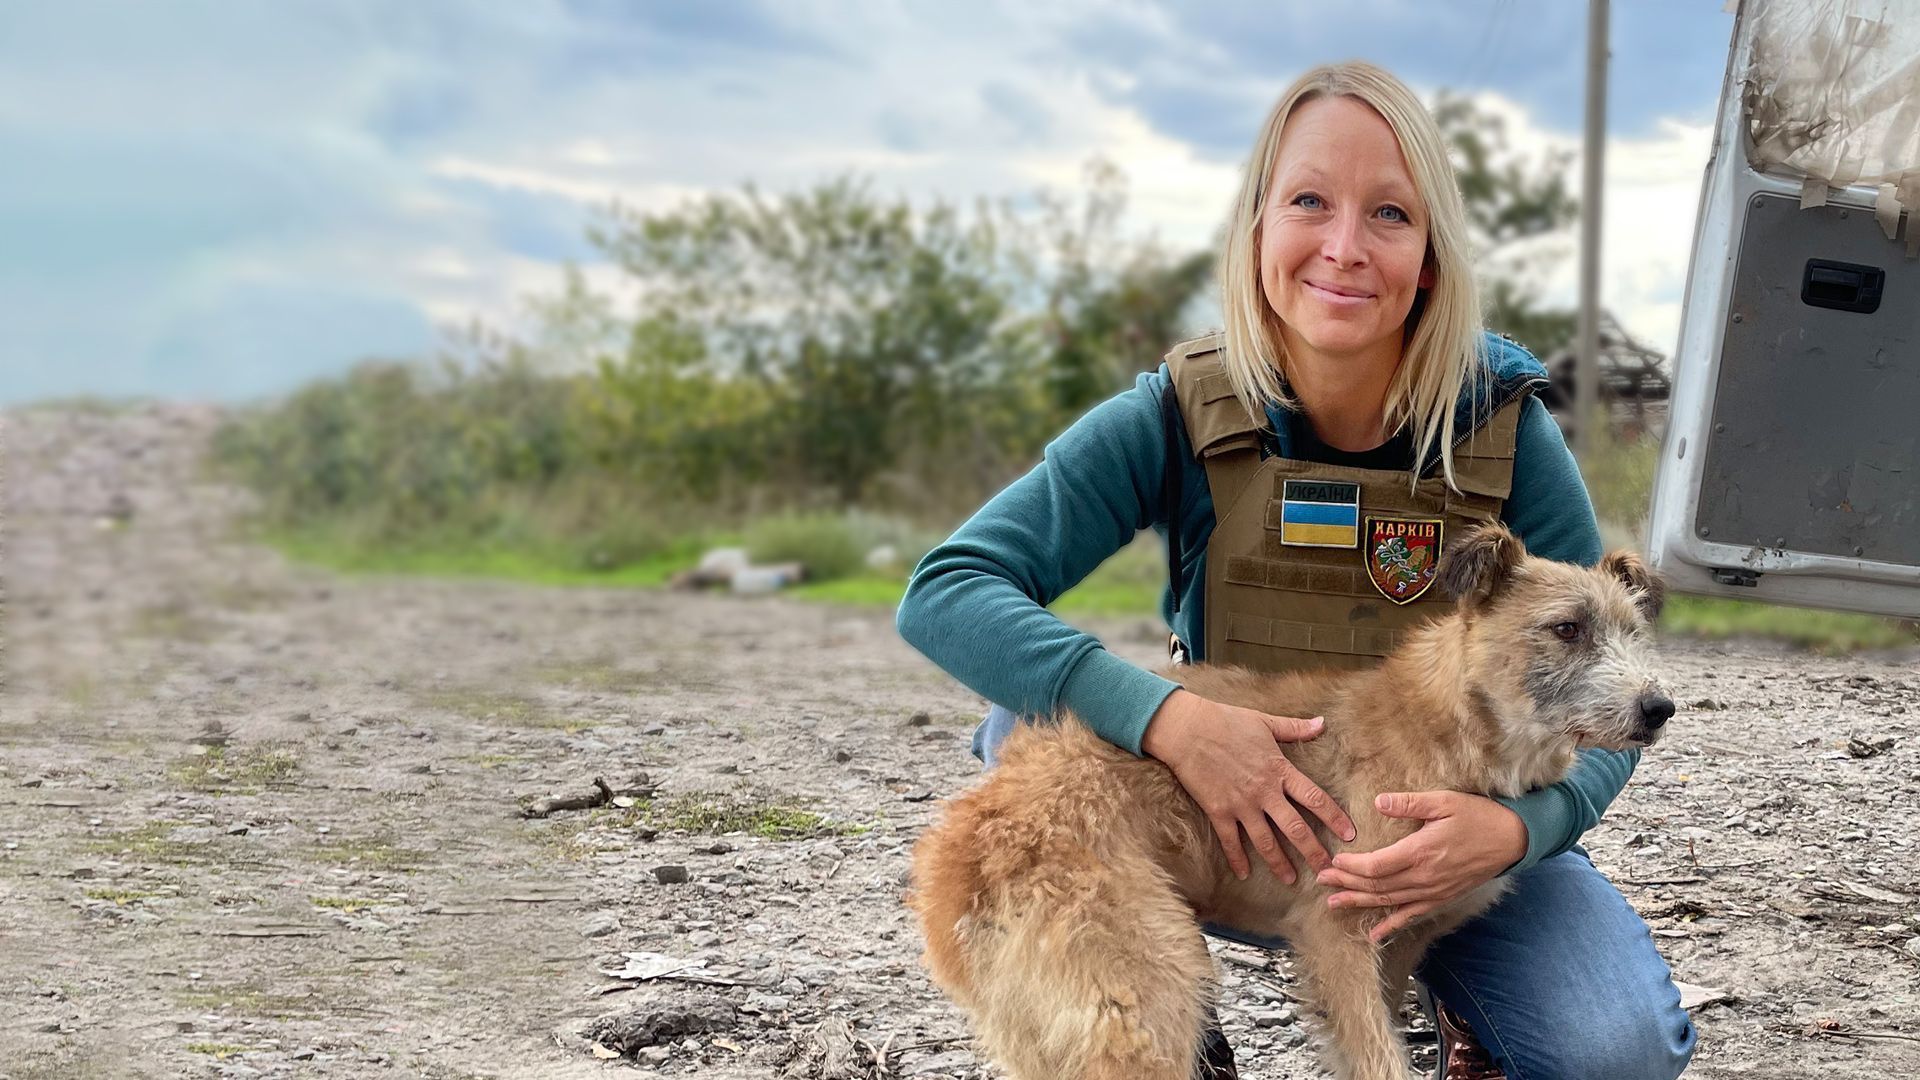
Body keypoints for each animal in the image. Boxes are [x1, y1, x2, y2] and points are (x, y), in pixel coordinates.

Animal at [906, 522, 1674, 1076]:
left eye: (1635, 635)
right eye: (1567, 629)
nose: (1660, 708)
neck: (1456, 728)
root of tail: (961, 855)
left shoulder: (1395, 944)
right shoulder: (1334, 931)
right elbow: (1379, 1060)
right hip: (1149, 987)